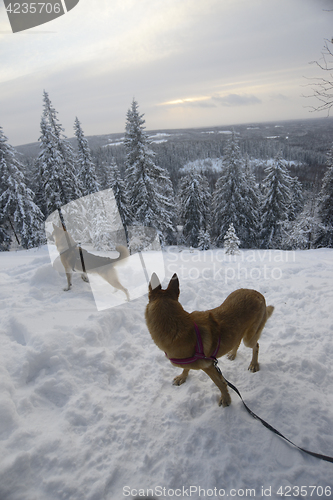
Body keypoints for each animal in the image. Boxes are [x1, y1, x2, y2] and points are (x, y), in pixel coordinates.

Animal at [145, 274, 272, 406]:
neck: (176, 326)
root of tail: (257, 293)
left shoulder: (209, 366)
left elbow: (220, 383)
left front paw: (226, 399)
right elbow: (186, 368)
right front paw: (182, 377)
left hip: (249, 339)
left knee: (256, 345)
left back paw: (254, 364)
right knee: (237, 340)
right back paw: (232, 354)